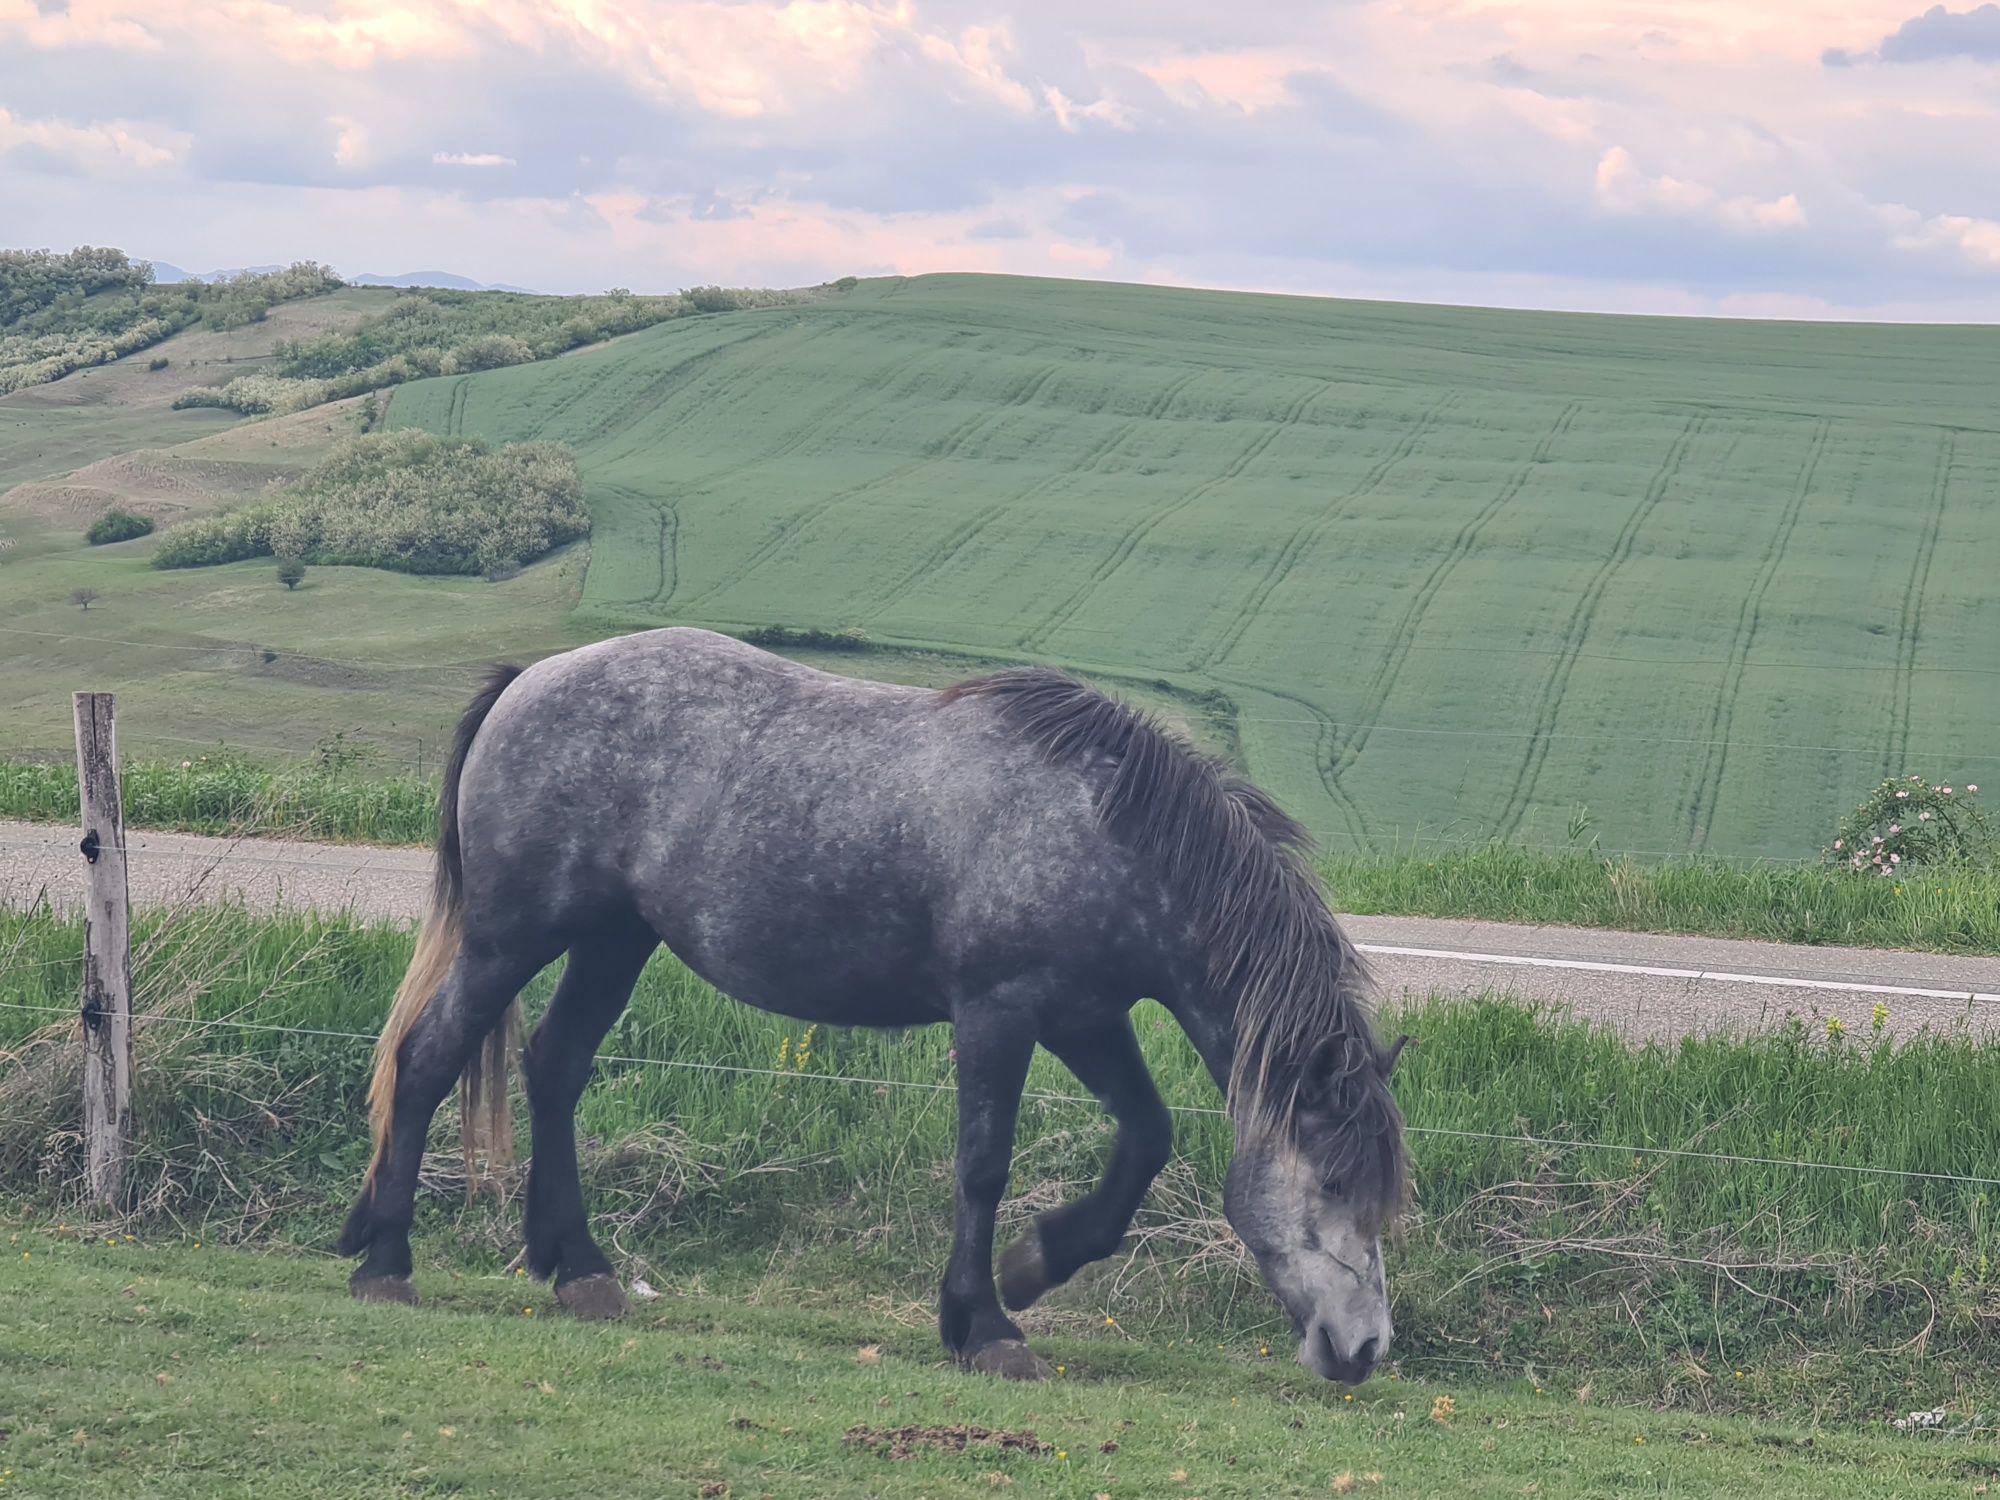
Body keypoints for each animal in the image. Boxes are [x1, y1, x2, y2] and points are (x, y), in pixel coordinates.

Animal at [340, 624, 1408, 1384]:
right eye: (1332, 1185)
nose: (1365, 1352)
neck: (1105, 833)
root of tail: (532, 677)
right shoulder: (999, 1015)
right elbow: (983, 1165)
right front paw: (986, 1323)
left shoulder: (1083, 1018)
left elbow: (1145, 1138)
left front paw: (1034, 1265)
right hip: (510, 940)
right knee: (429, 1059)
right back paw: (386, 1262)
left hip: (613, 941)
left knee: (555, 1068)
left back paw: (580, 1270)